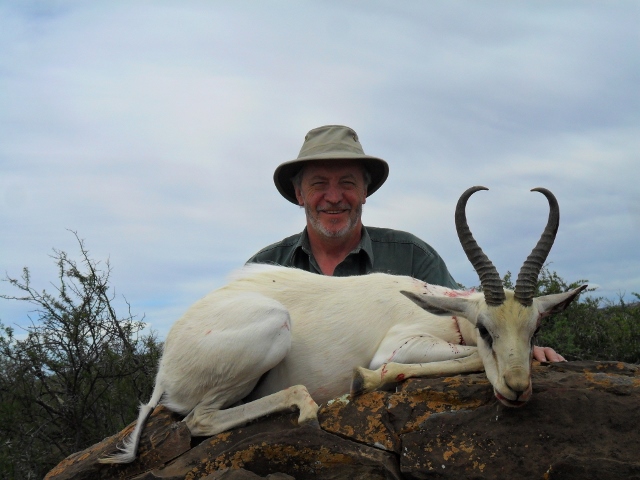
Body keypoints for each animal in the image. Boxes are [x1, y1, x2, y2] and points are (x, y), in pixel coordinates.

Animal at [99, 186, 584, 464]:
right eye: (485, 329)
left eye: (534, 330)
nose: (517, 390)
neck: (446, 312)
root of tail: (164, 370)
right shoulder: (401, 344)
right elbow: (456, 360)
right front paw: (364, 381)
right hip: (274, 328)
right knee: (198, 421)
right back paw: (314, 405)